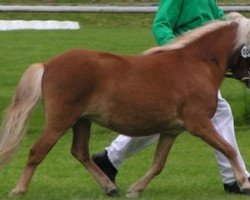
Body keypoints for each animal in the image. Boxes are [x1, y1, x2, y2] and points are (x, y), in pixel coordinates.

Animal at [0, 13, 250, 198]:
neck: (197, 64)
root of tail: (47, 64)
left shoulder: (171, 130)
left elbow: (158, 164)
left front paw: (135, 189)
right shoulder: (199, 124)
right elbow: (228, 148)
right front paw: (244, 183)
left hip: (82, 121)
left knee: (80, 152)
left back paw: (110, 187)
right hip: (60, 121)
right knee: (37, 151)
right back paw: (19, 190)